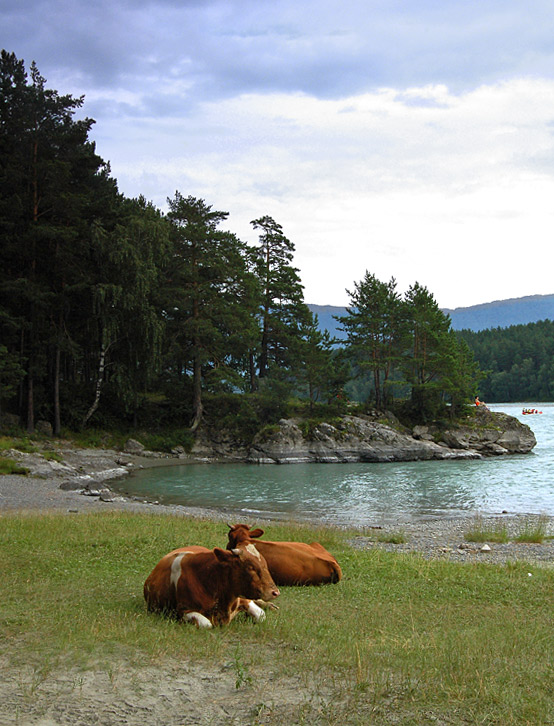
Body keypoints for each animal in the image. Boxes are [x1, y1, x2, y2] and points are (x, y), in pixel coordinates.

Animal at [144, 544, 278, 628]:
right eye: (251, 567)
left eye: (265, 564)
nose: (275, 592)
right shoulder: (183, 610)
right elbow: (206, 624)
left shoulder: (242, 598)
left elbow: (261, 615)